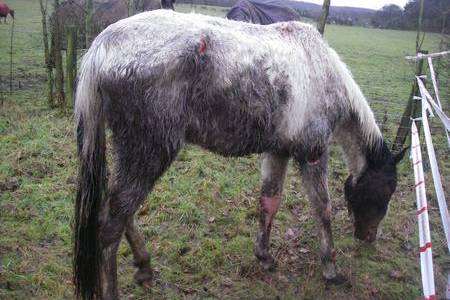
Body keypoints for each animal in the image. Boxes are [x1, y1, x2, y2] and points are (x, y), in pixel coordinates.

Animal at [74, 9, 408, 300]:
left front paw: (264, 255)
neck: (321, 69)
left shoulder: (278, 151)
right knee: (111, 225)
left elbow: (269, 201)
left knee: (120, 211)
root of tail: (100, 47)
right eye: (387, 190)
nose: (369, 237)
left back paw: (144, 265)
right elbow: (322, 209)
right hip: (148, 152)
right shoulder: (312, 153)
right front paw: (330, 268)